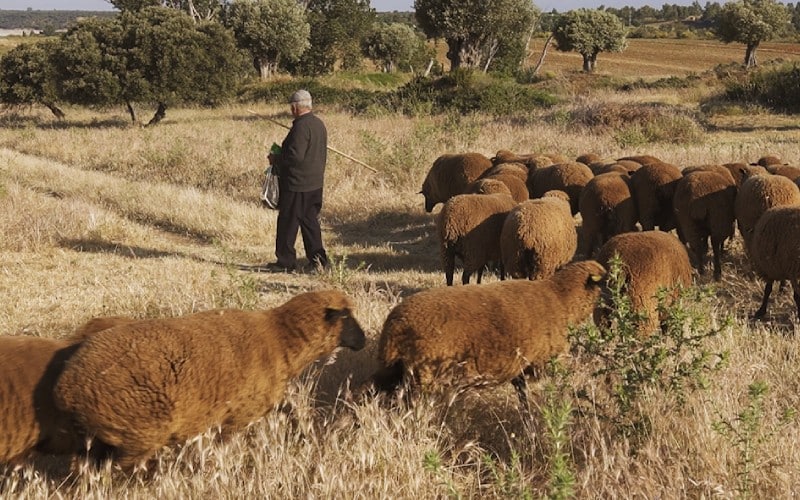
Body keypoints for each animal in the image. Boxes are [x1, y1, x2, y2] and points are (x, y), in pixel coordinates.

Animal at [53, 290, 366, 471]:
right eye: (346, 316)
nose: (364, 341)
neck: (280, 340)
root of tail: (67, 388)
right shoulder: (236, 417)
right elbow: (222, 448)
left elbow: (292, 412)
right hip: (136, 434)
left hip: (96, 439)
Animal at [368, 260, 606, 406]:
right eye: (606, 280)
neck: (561, 299)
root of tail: (394, 328)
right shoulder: (541, 365)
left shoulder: (519, 370)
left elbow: (524, 400)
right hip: (424, 377)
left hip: (395, 373)